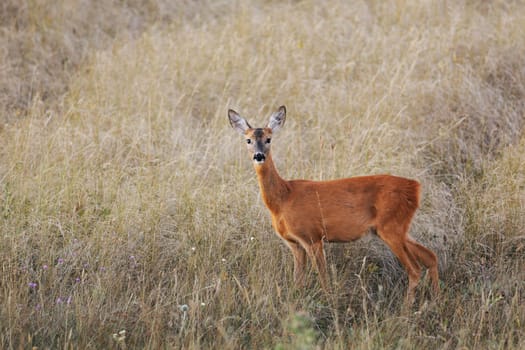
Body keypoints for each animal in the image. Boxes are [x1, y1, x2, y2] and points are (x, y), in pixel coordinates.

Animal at [229, 105, 438, 302]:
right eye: (248, 140)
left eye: (269, 139)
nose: (259, 156)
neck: (283, 199)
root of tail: (416, 187)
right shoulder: (294, 243)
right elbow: (298, 280)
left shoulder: (312, 236)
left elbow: (323, 277)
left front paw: (328, 301)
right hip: (398, 228)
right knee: (430, 256)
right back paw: (435, 301)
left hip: (391, 227)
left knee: (415, 269)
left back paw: (407, 309)